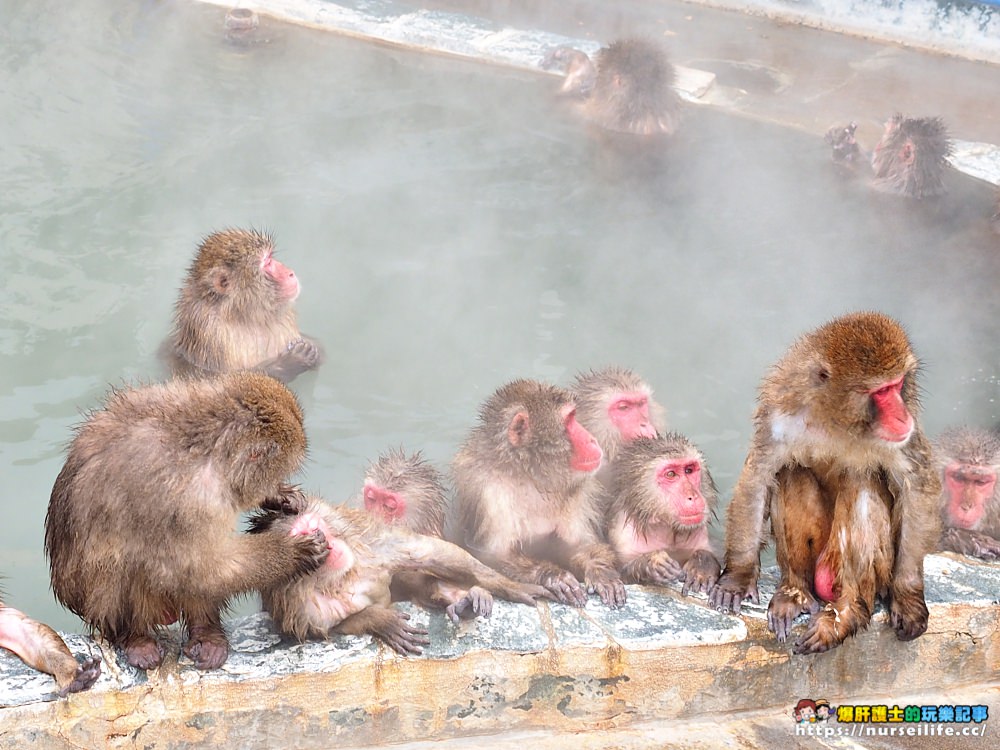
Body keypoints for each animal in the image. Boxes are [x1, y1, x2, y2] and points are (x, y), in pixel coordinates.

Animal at [46, 374, 328, 672]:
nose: (275, 484)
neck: (207, 446)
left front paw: (280, 497)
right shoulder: (193, 501)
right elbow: (205, 567)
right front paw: (294, 552)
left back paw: (207, 634)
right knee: (130, 569)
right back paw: (134, 637)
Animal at [249, 500, 548, 656]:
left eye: (315, 527)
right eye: (305, 538)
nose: (327, 541)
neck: (339, 577)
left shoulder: (368, 546)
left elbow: (431, 552)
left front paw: (512, 586)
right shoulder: (301, 606)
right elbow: (323, 632)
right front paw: (381, 620)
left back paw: (467, 599)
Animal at [448, 382, 620, 612]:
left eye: (574, 417)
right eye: (569, 420)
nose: (592, 439)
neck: (528, 474)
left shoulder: (576, 491)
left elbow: (579, 544)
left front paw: (600, 570)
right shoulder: (488, 495)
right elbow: (490, 556)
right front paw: (553, 575)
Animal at [708, 314, 940, 656]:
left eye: (898, 386)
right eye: (882, 392)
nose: (903, 416)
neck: (838, 421)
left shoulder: (902, 441)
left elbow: (917, 488)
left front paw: (908, 596)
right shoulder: (781, 411)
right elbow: (759, 477)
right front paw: (737, 576)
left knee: (861, 482)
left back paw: (846, 612)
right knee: (791, 473)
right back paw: (795, 592)